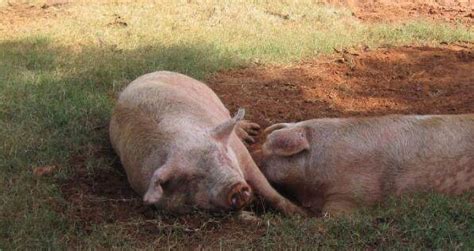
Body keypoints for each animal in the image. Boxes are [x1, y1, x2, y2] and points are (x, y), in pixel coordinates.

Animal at [108, 71, 308, 216]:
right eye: (191, 178)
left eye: (222, 156)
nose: (235, 188)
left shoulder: (241, 153)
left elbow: (265, 186)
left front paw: (299, 214)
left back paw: (250, 132)